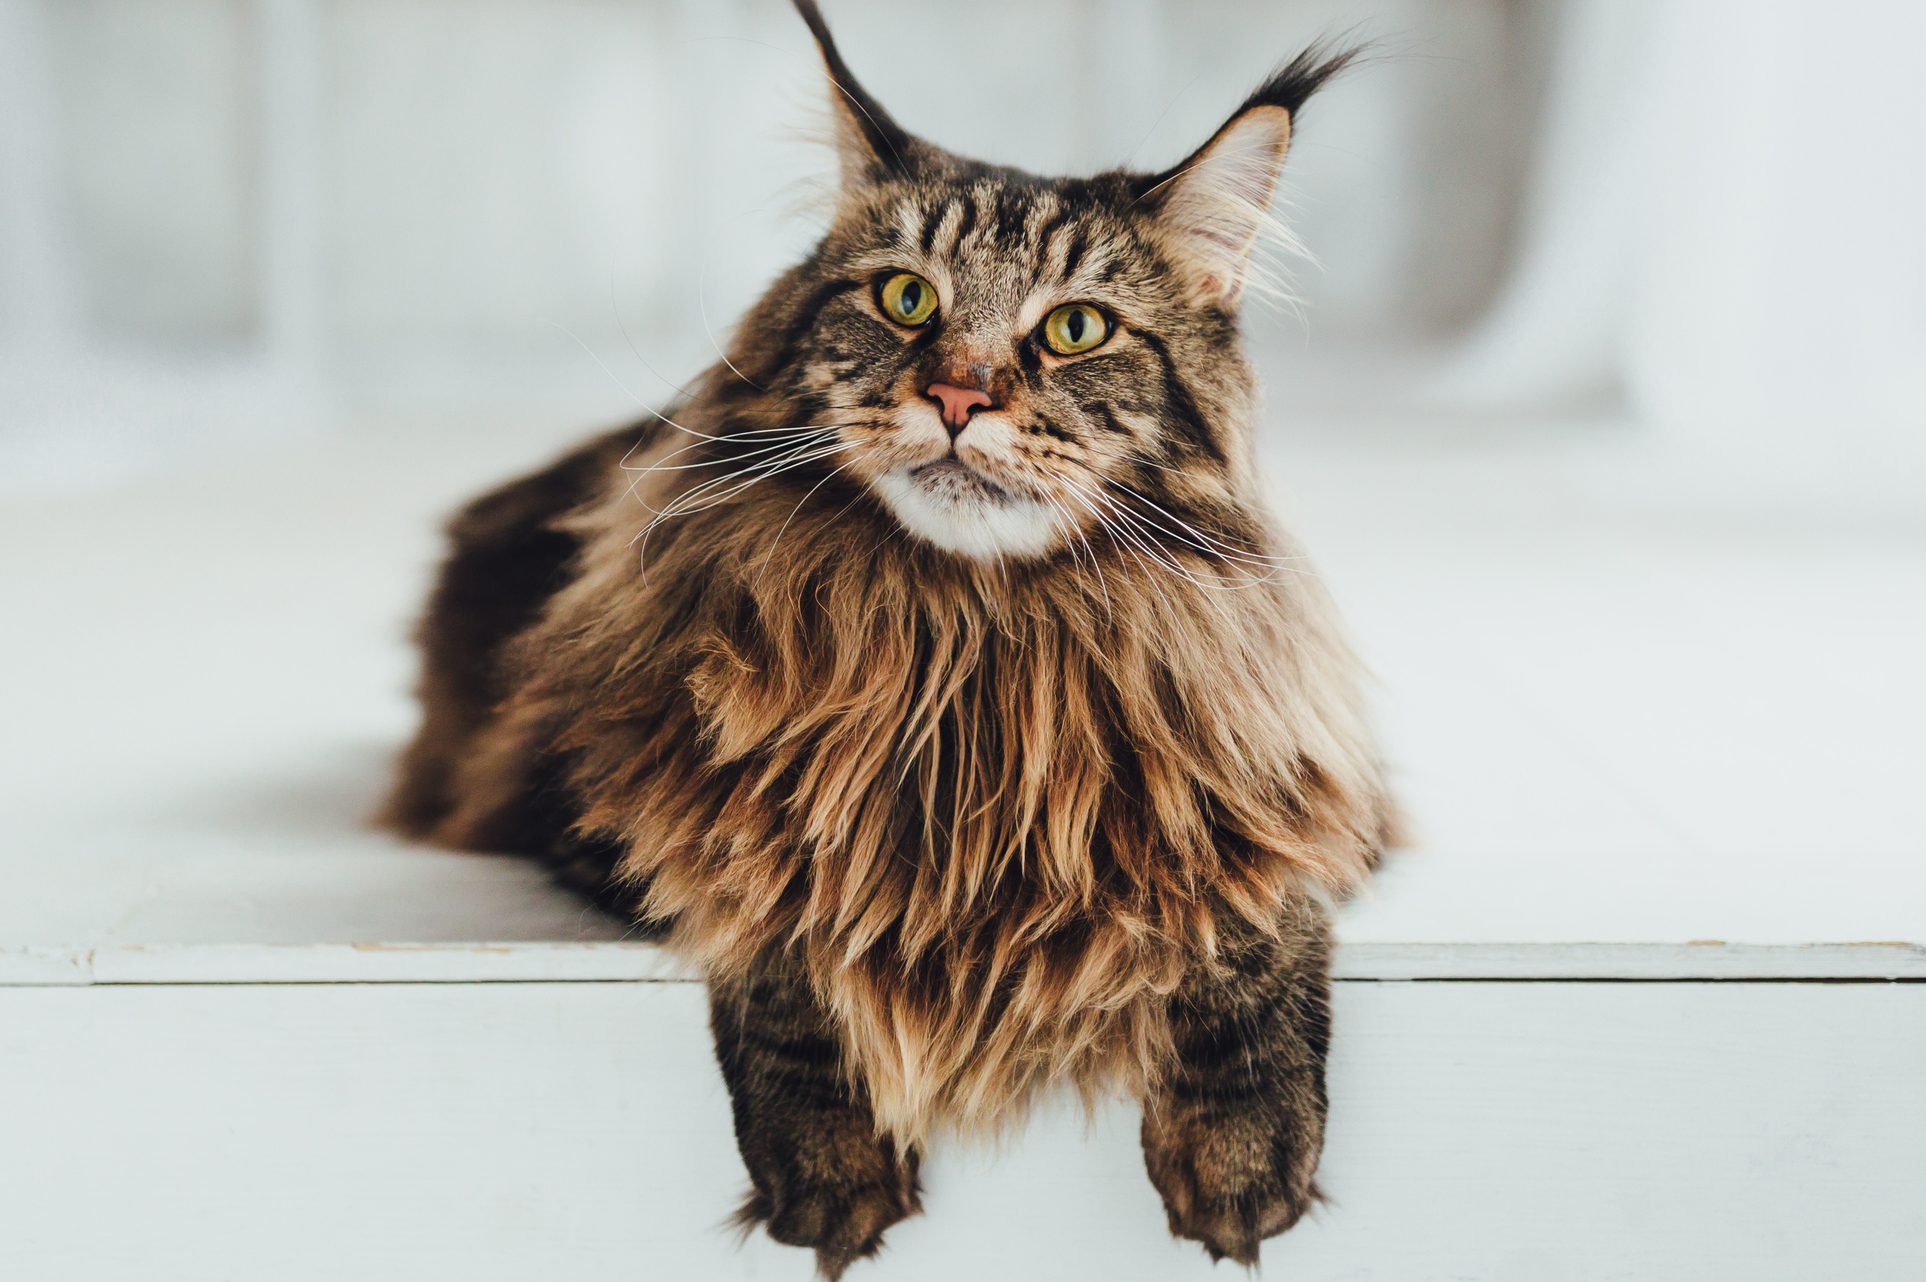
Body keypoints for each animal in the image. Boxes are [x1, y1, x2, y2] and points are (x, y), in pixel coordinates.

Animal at [383, 4, 1394, 1270]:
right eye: (908, 300)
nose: (960, 396)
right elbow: (786, 907)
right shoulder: (628, 801)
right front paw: (828, 1162)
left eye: (1075, 328)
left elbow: (1248, 916)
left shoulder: (1310, 793)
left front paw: (1245, 1147)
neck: (971, 638)